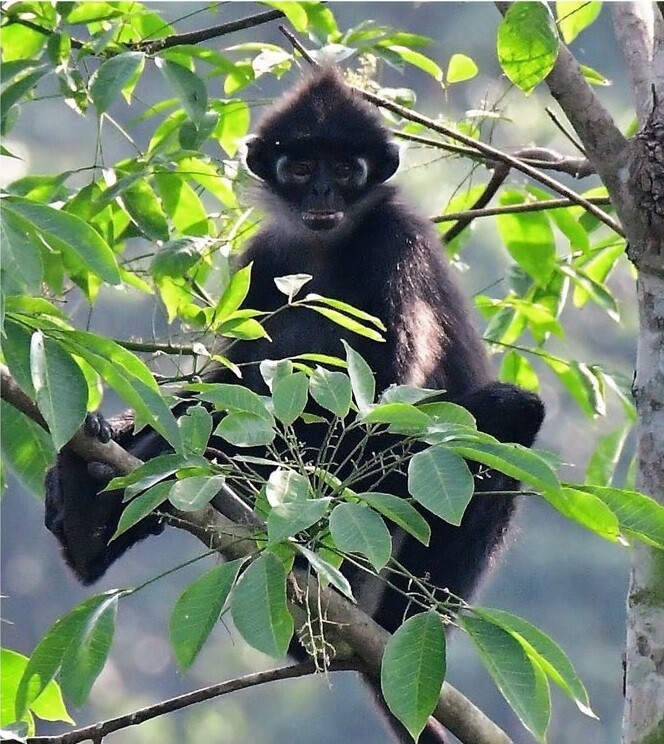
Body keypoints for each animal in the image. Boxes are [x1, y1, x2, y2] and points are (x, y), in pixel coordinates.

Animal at [45, 67, 544, 740]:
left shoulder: (398, 241)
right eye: (302, 166)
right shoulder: (267, 258)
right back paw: (88, 523)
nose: (324, 192)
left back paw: (393, 627)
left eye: (347, 168)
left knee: (508, 415)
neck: (324, 248)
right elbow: (227, 378)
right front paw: (124, 437)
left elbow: (385, 394)